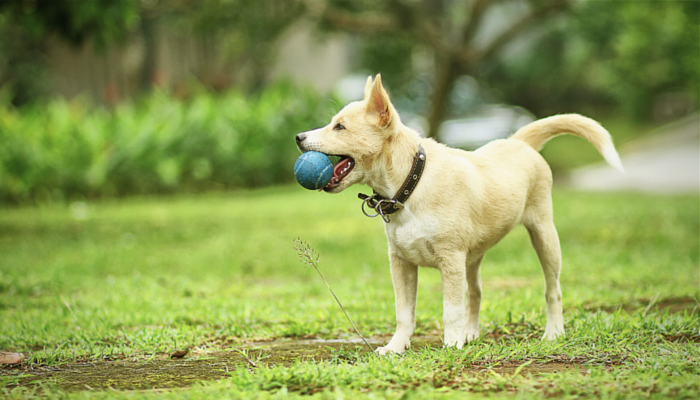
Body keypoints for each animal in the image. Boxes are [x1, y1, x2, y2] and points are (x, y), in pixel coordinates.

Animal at [296, 74, 624, 354]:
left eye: (340, 127)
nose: (298, 136)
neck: (412, 183)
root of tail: (519, 141)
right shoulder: (401, 262)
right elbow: (404, 312)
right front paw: (396, 347)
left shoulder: (450, 259)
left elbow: (450, 308)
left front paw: (451, 344)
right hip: (473, 258)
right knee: (476, 292)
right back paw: (471, 333)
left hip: (544, 235)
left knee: (552, 289)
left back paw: (553, 332)